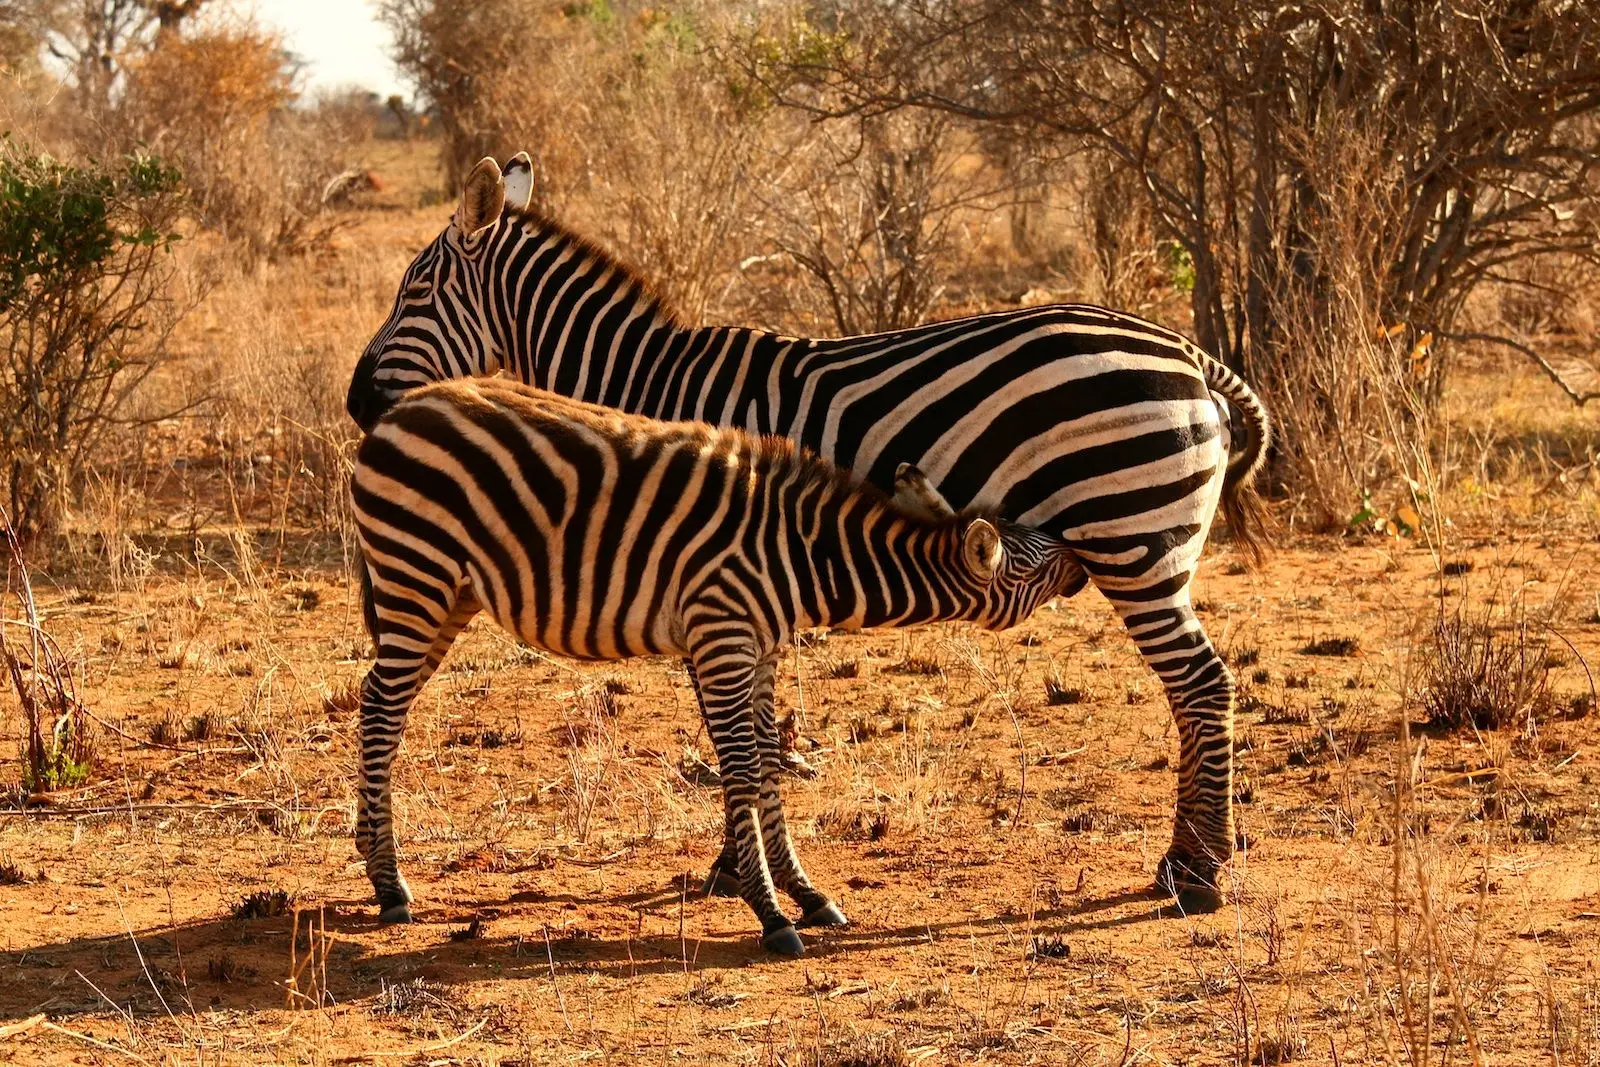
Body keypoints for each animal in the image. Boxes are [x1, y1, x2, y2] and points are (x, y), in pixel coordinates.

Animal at [351, 378, 1081, 955]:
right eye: (1039, 560)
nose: (1082, 556)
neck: (808, 557)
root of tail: (402, 408)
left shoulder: (760, 648)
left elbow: (769, 763)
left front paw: (807, 894)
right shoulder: (724, 634)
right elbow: (743, 769)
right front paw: (771, 913)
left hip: (450, 592)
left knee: (379, 698)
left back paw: (372, 856)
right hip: (416, 572)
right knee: (383, 708)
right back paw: (389, 885)